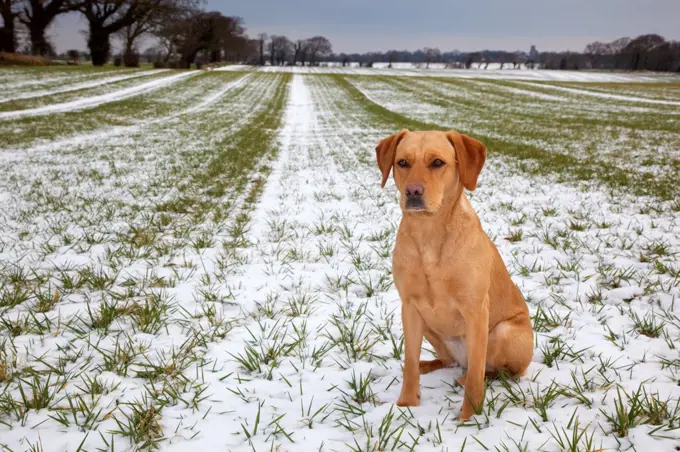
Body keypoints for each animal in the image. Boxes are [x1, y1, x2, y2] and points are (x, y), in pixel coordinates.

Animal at [374, 129, 532, 422]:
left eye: (437, 163)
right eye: (402, 162)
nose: (412, 192)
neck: (429, 234)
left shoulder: (476, 311)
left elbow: (477, 376)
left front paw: (470, 416)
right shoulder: (409, 307)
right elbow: (409, 362)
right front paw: (407, 405)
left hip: (503, 332)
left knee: (498, 371)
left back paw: (469, 378)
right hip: (431, 327)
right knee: (448, 361)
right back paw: (429, 365)